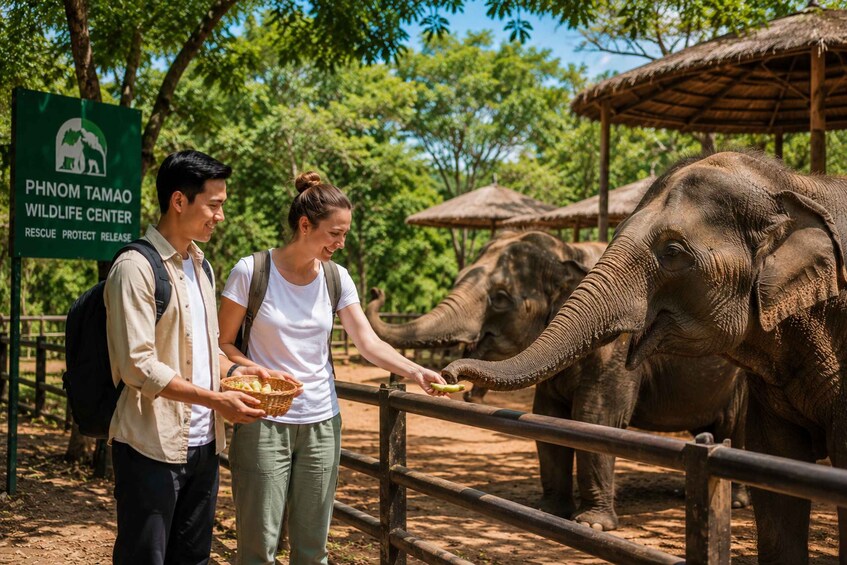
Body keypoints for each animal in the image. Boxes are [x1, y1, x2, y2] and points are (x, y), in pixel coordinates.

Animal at [367, 230, 748, 530]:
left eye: (500, 298)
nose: (448, 374)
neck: (570, 250)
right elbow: (547, 416)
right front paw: (549, 511)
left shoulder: (620, 346)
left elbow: (596, 418)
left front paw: (592, 525)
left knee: (736, 425)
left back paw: (737, 503)